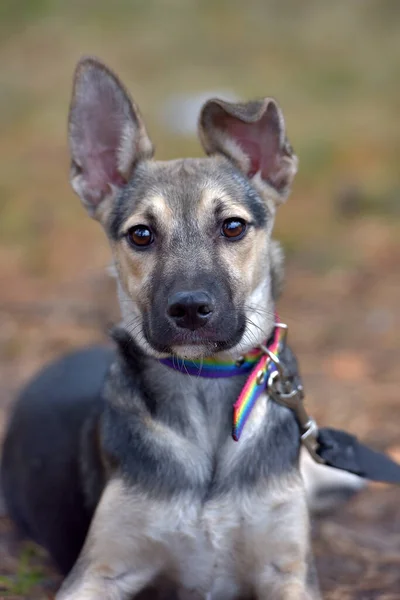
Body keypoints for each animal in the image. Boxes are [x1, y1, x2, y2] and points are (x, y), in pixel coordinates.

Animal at [0, 57, 362, 600]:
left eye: (232, 226)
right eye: (140, 235)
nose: (190, 309)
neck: (204, 389)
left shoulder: (289, 570)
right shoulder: (96, 570)